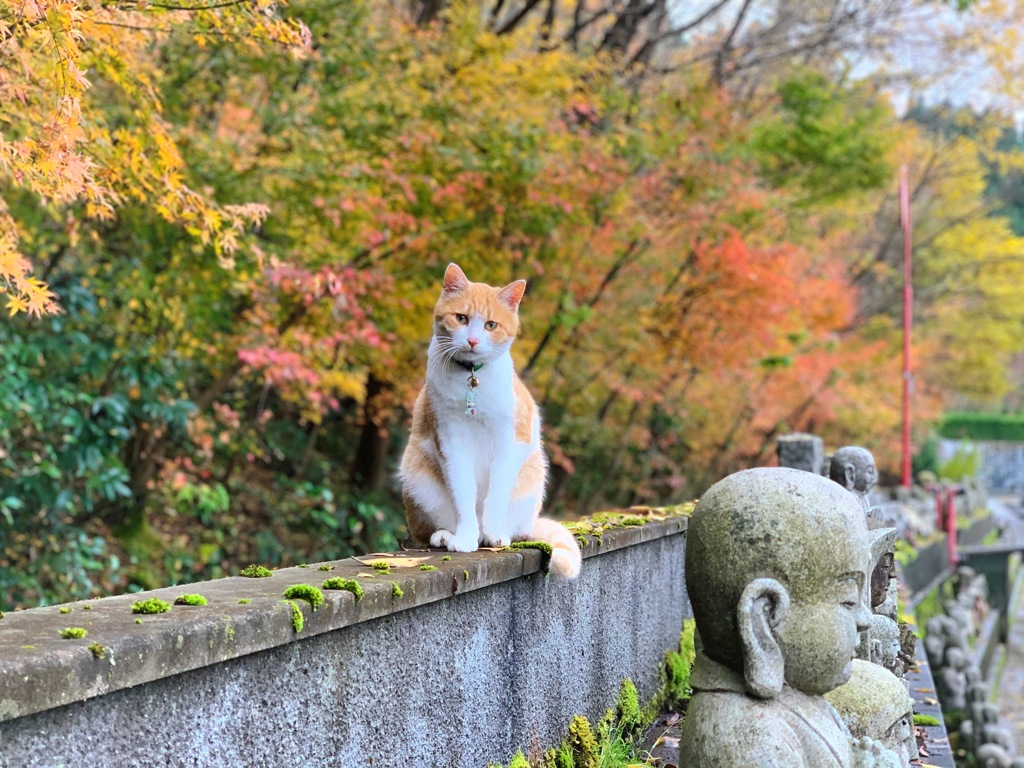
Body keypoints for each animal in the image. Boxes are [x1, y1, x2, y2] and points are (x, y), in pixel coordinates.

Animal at [403, 262, 589, 581]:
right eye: (461, 318)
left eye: (490, 325)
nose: (473, 340)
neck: (471, 380)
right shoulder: (450, 442)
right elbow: (463, 494)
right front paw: (464, 538)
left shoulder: (511, 441)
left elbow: (497, 492)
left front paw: (493, 533)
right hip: (415, 474)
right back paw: (447, 535)